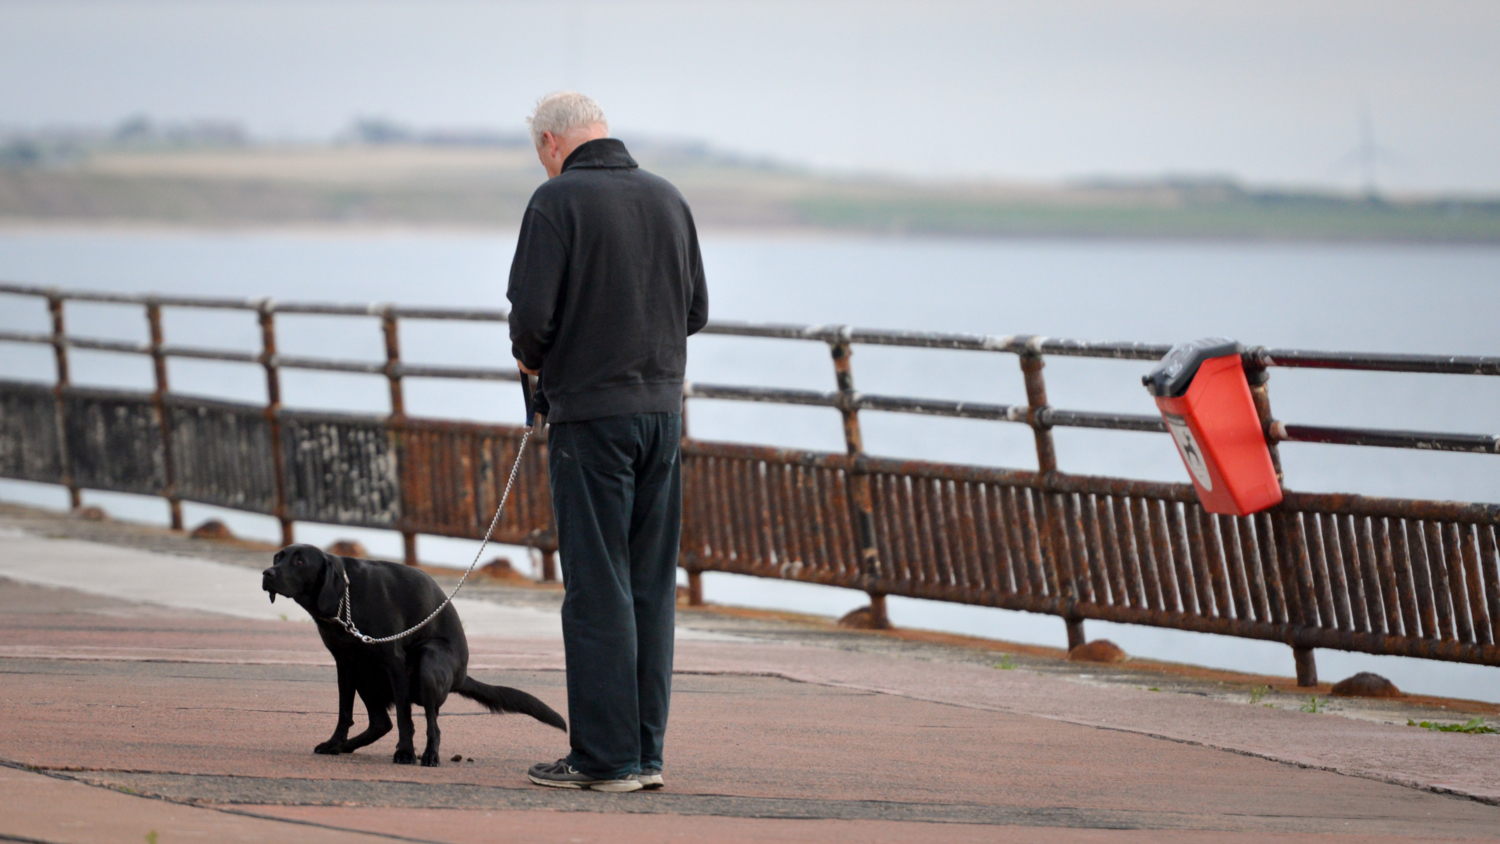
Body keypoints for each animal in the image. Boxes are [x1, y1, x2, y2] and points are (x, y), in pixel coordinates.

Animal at [261, 545, 564, 767]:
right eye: (278, 557)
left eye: (300, 562)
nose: (267, 573)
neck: (346, 597)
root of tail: (462, 675)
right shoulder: (344, 663)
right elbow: (344, 712)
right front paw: (335, 743)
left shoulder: (393, 660)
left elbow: (405, 716)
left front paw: (405, 752)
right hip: (366, 674)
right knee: (381, 723)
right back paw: (347, 746)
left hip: (428, 663)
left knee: (432, 724)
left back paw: (429, 756)